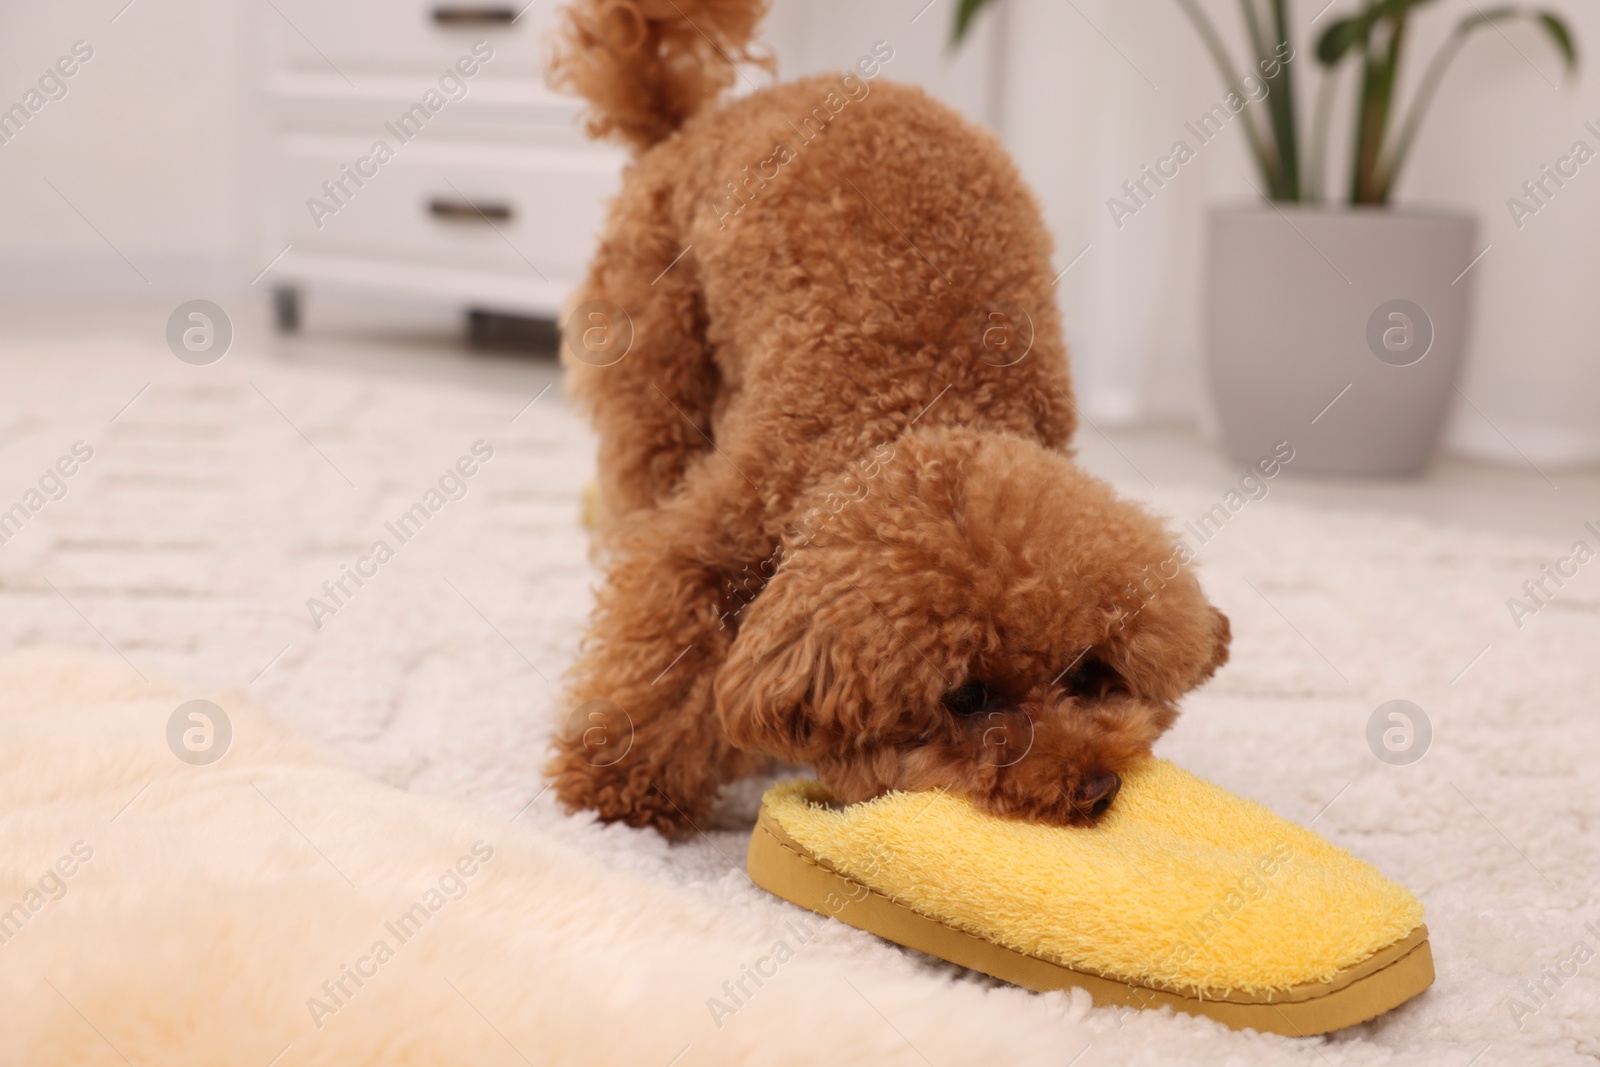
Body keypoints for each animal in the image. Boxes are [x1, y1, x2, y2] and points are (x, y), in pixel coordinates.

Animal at [544, 0, 1228, 844]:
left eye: (1093, 671)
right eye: (967, 697)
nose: (1093, 787)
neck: (909, 410)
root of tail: (690, 126)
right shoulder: (708, 542)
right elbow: (664, 649)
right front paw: (617, 786)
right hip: (655, 360)